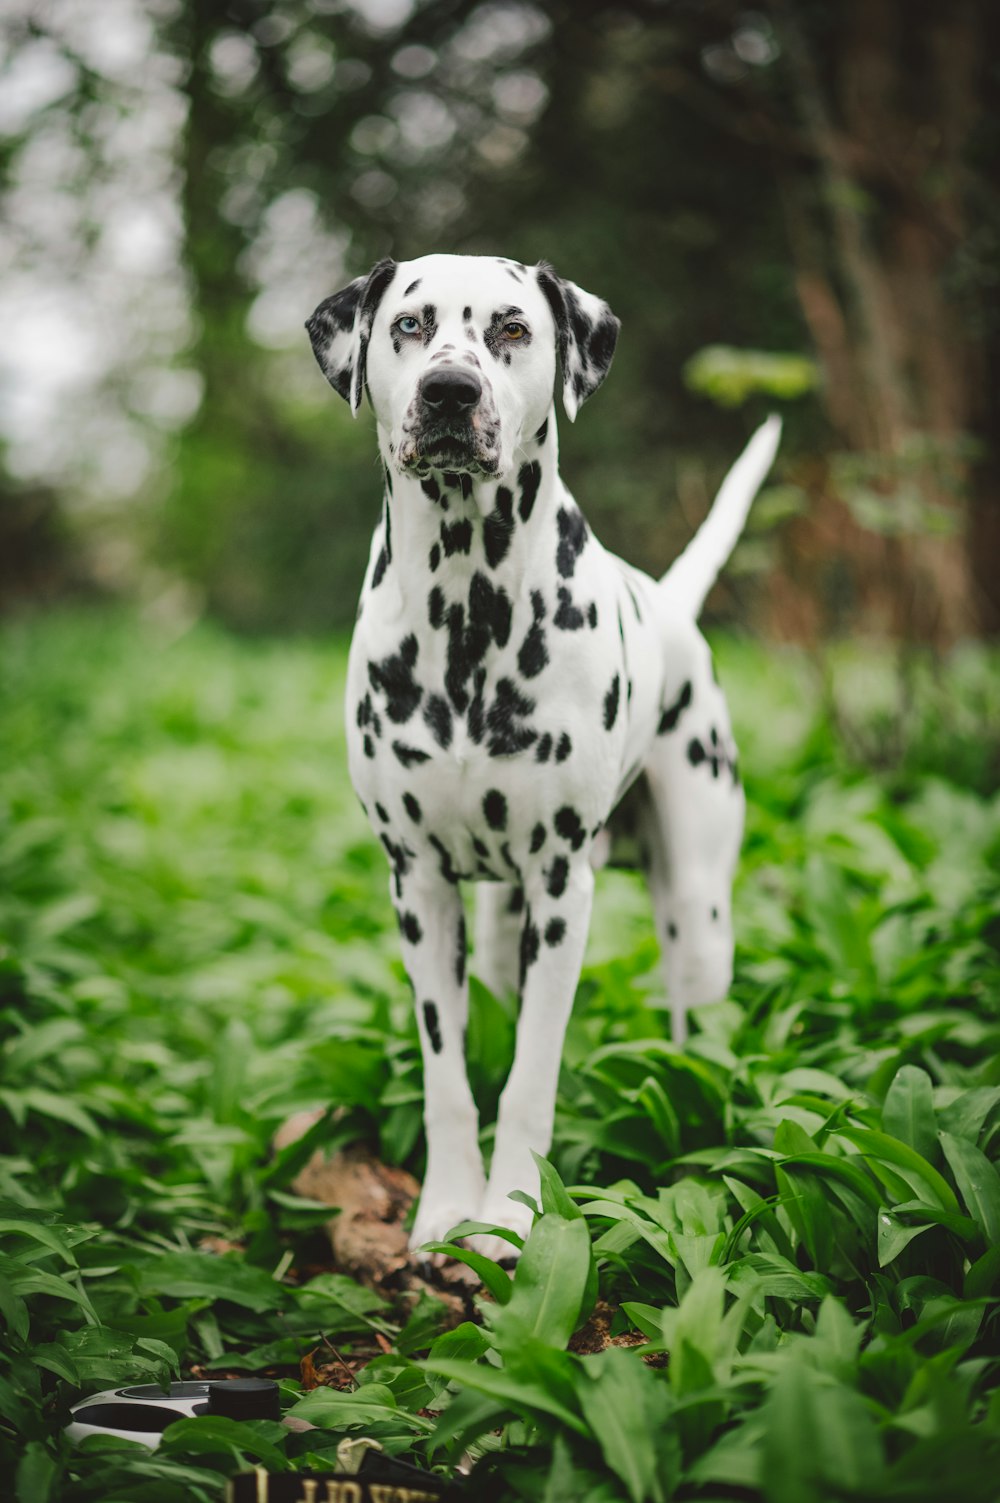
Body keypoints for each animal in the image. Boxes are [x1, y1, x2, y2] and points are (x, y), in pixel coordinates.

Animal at [303, 258, 781, 1256]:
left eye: (513, 329)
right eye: (409, 325)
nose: (450, 391)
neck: (465, 607)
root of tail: (671, 605)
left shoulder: (564, 891)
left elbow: (530, 1075)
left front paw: (511, 1217)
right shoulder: (419, 888)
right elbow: (449, 1077)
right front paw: (448, 1209)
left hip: (697, 914)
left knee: (694, 1017)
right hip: (493, 921)